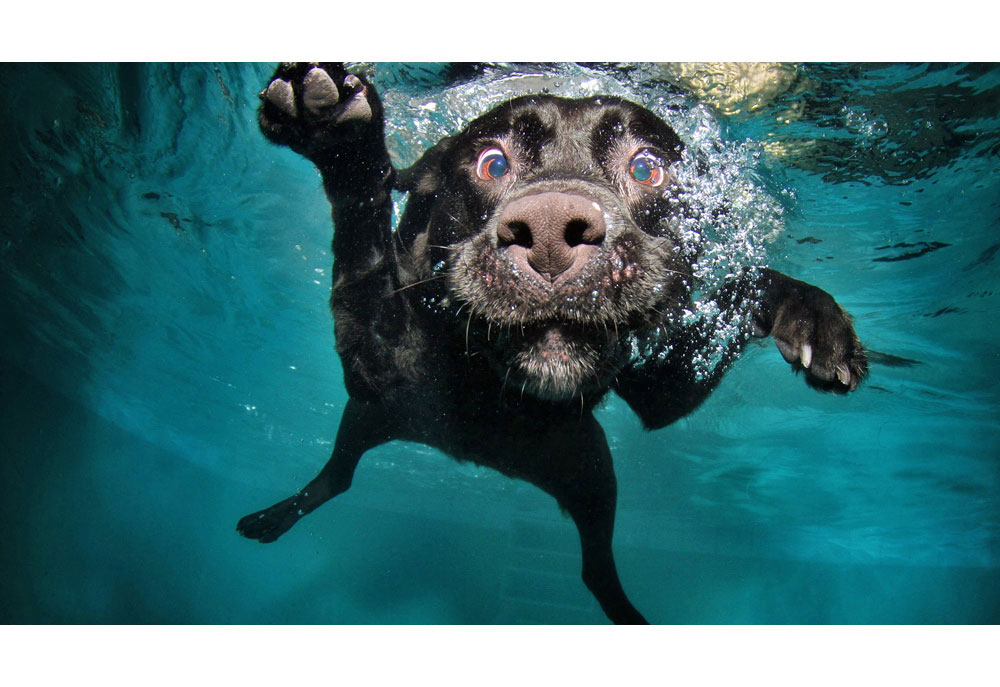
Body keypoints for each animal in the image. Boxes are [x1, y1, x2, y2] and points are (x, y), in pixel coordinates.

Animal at [240, 63, 868, 624]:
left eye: (646, 168)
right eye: (492, 163)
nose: (547, 232)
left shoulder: (664, 388)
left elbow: (745, 286)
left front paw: (812, 316)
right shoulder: (377, 365)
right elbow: (362, 246)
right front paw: (339, 133)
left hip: (591, 474)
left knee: (594, 569)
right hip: (369, 418)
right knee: (339, 476)